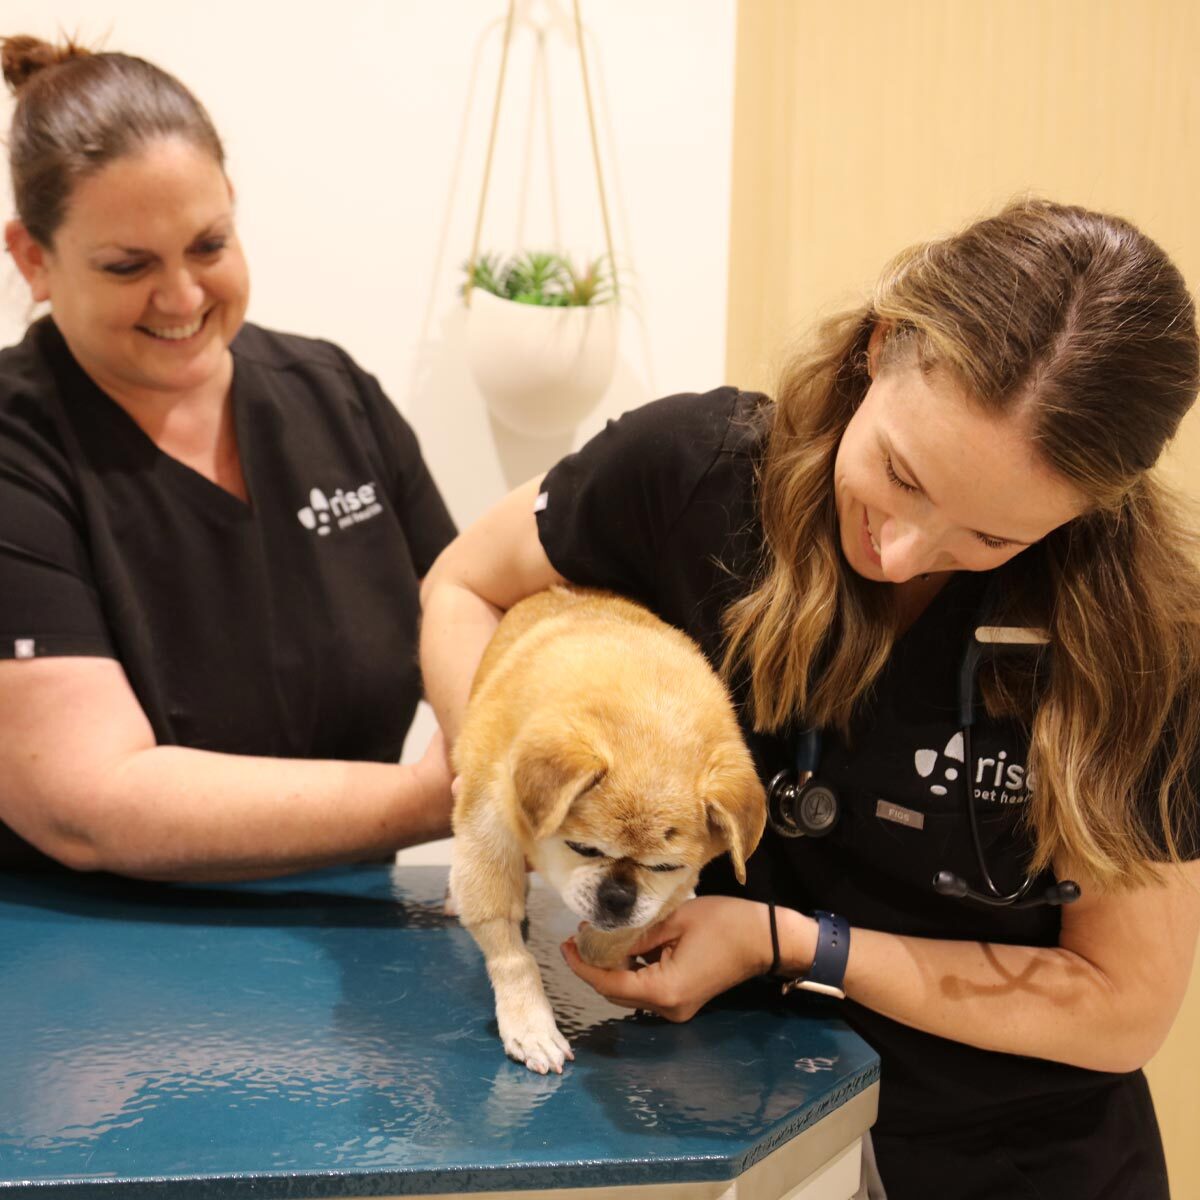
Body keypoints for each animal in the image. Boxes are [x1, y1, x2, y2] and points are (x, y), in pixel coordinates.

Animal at [451, 585, 768, 1075]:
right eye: (582, 848)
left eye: (664, 867)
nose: (617, 896)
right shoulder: (486, 831)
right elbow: (509, 950)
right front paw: (530, 1021)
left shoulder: (668, 891)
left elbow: (627, 931)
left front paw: (595, 944)